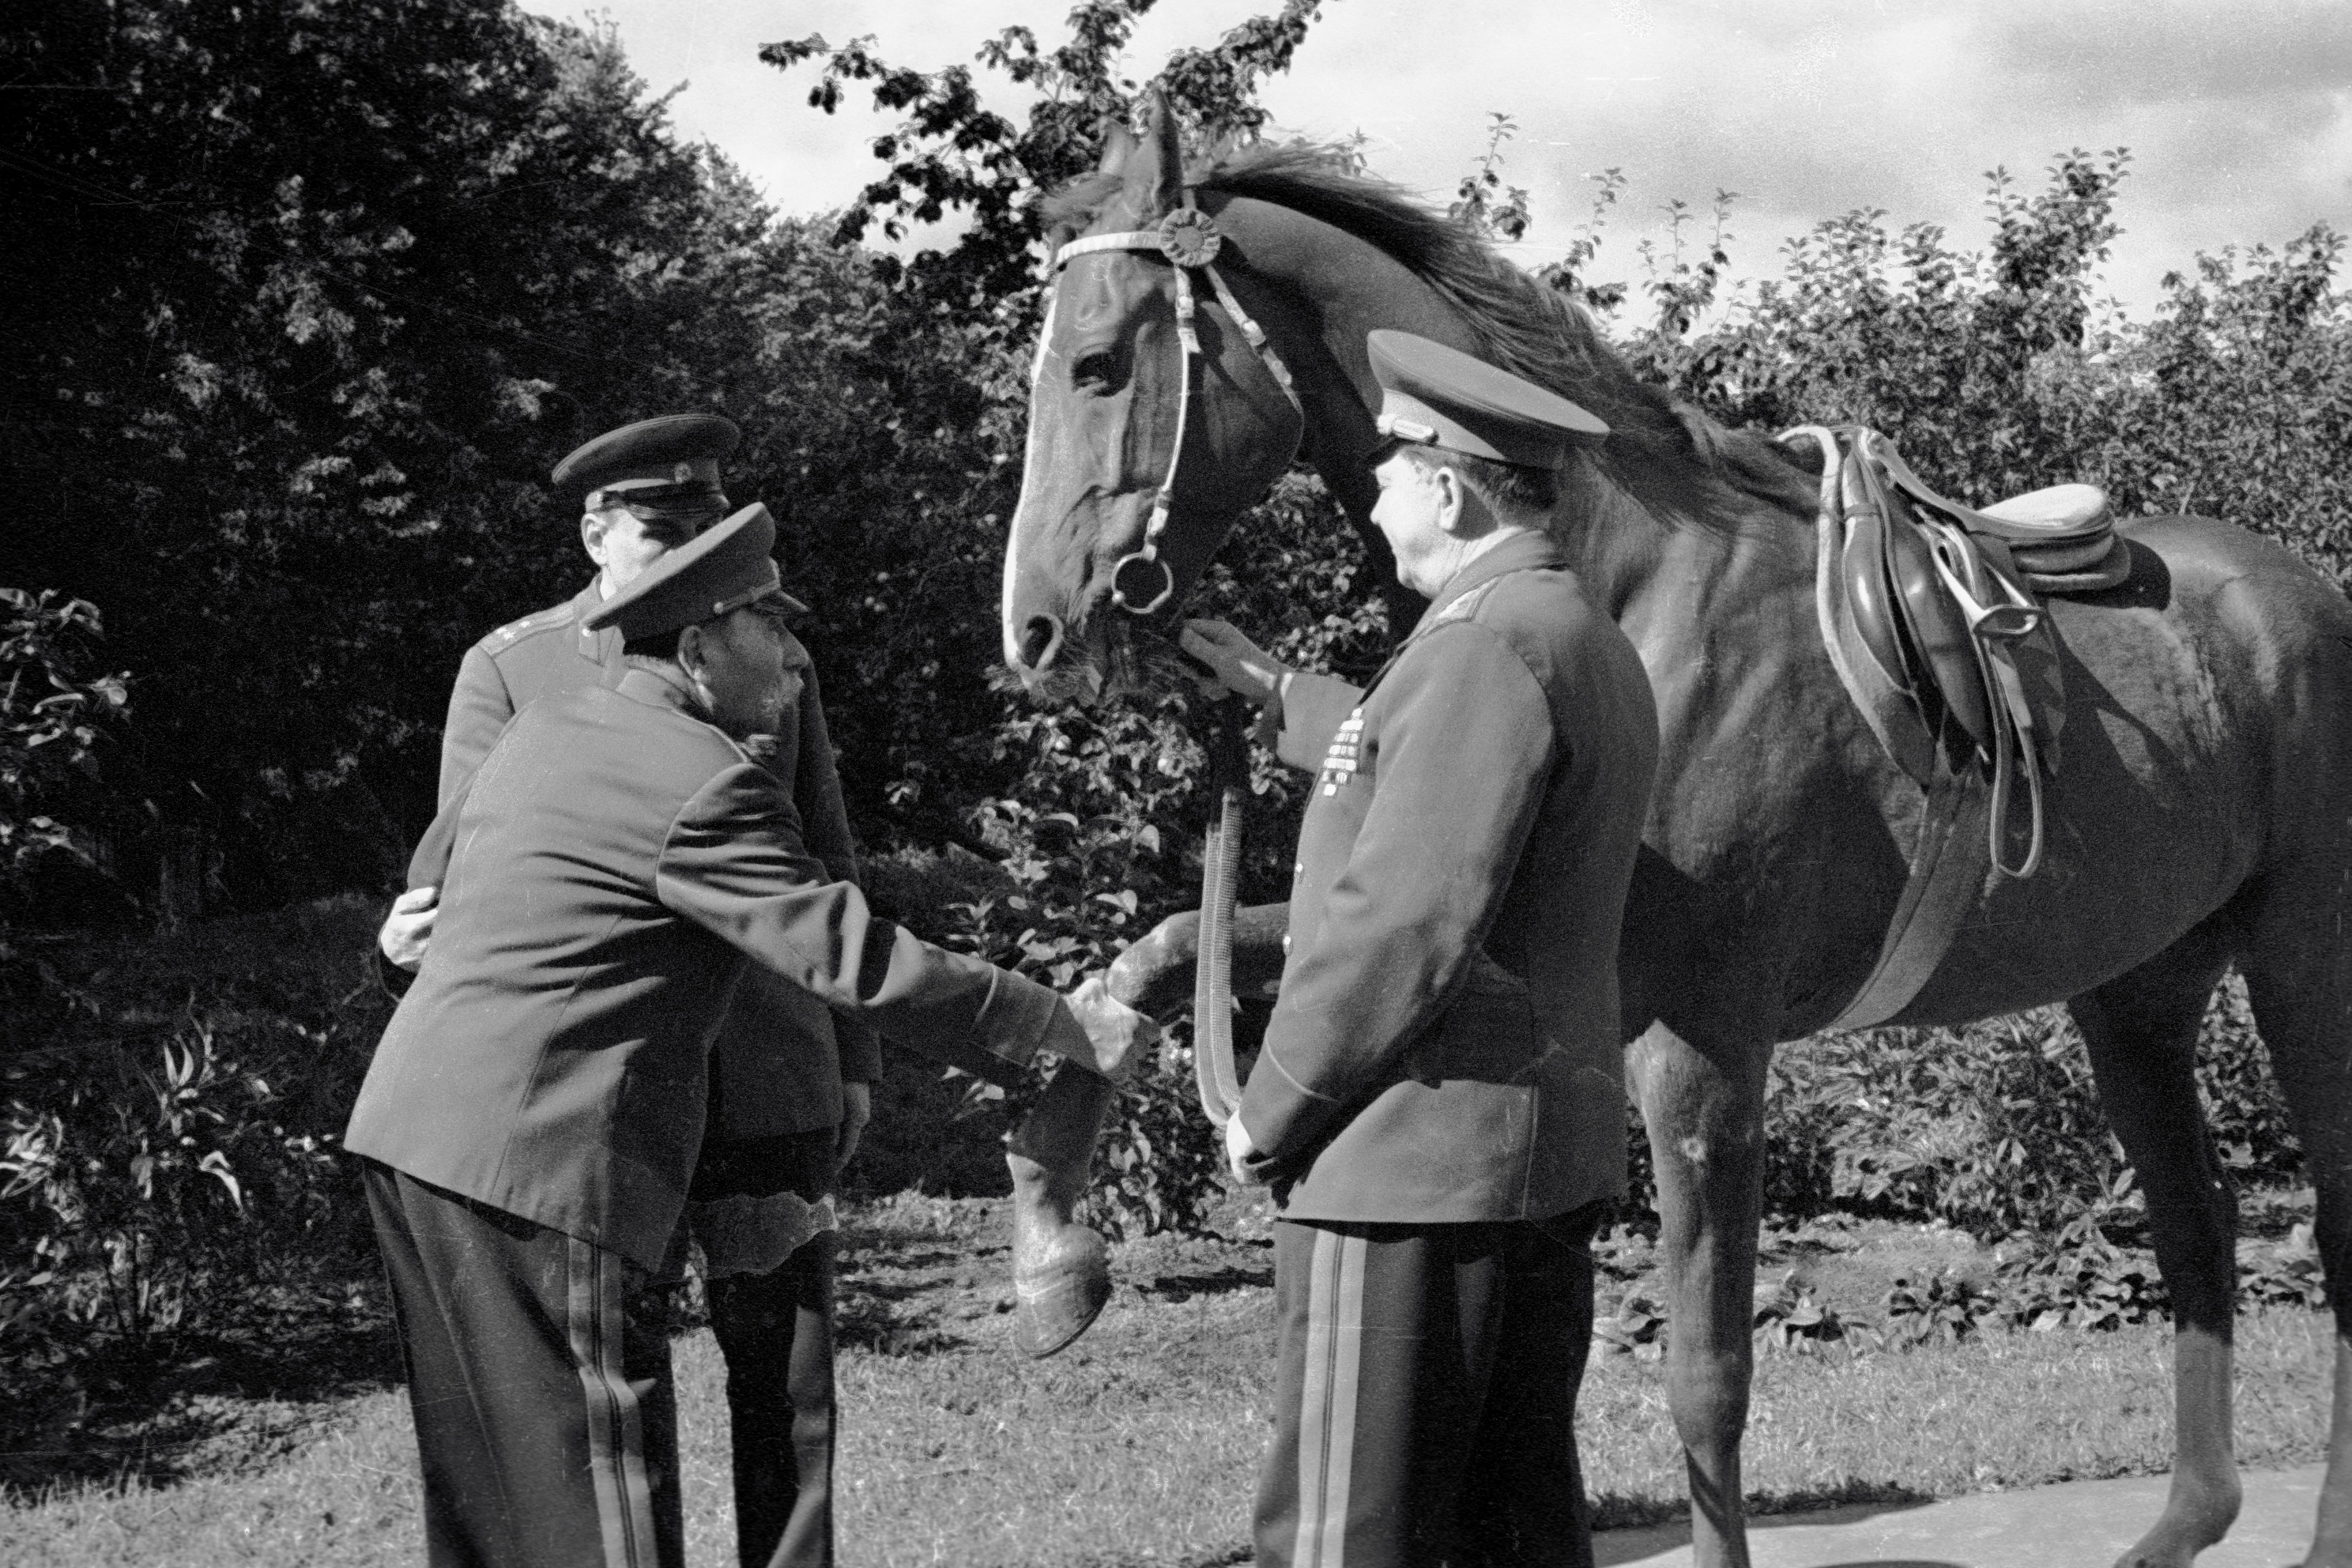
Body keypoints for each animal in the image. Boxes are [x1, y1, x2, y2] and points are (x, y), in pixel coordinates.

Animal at [992, 95, 2352, 1568]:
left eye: (1100, 366)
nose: (1034, 628)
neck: (1623, 589)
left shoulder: (1698, 1042)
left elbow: (1707, 1378)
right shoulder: (1473, 924)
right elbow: (1161, 949)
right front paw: (1054, 1245)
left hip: (2301, 965)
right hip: (2140, 987)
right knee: (2198, 1223)